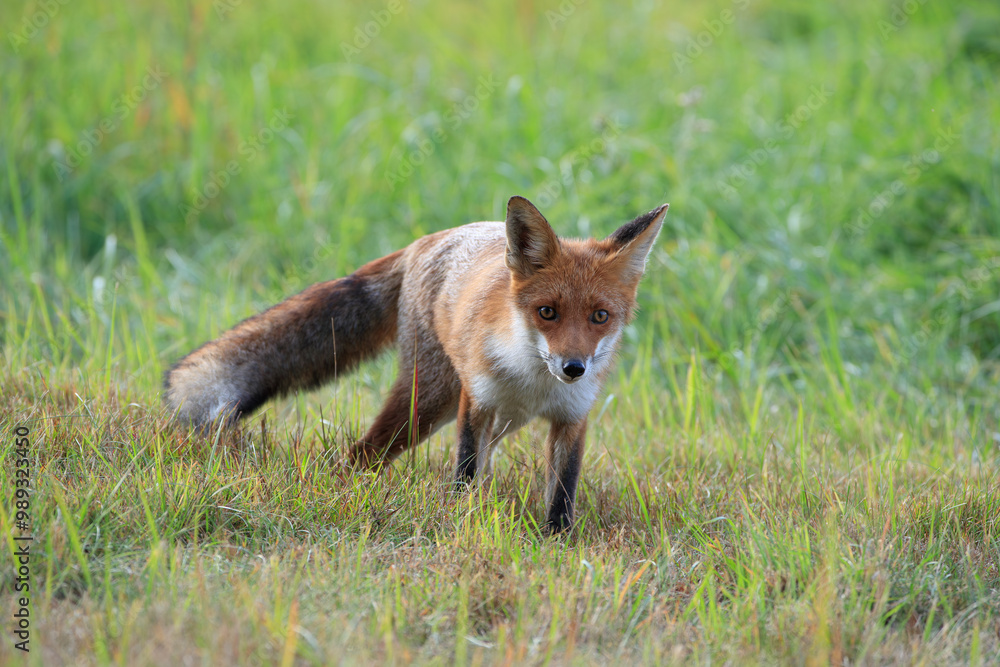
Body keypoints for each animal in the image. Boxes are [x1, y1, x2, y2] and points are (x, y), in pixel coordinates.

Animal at [165, 196, 668, 532]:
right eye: (548, 312)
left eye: (600, 317)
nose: (573, 367)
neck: (533, 383)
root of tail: (425, 241)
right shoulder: (477, 402)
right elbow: (464, 475)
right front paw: (462, 523)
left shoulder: (571, 417)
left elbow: (562, 493)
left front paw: (556, 545)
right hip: (427, 403)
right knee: (360, 453)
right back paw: (352, 490)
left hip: (487, 420)